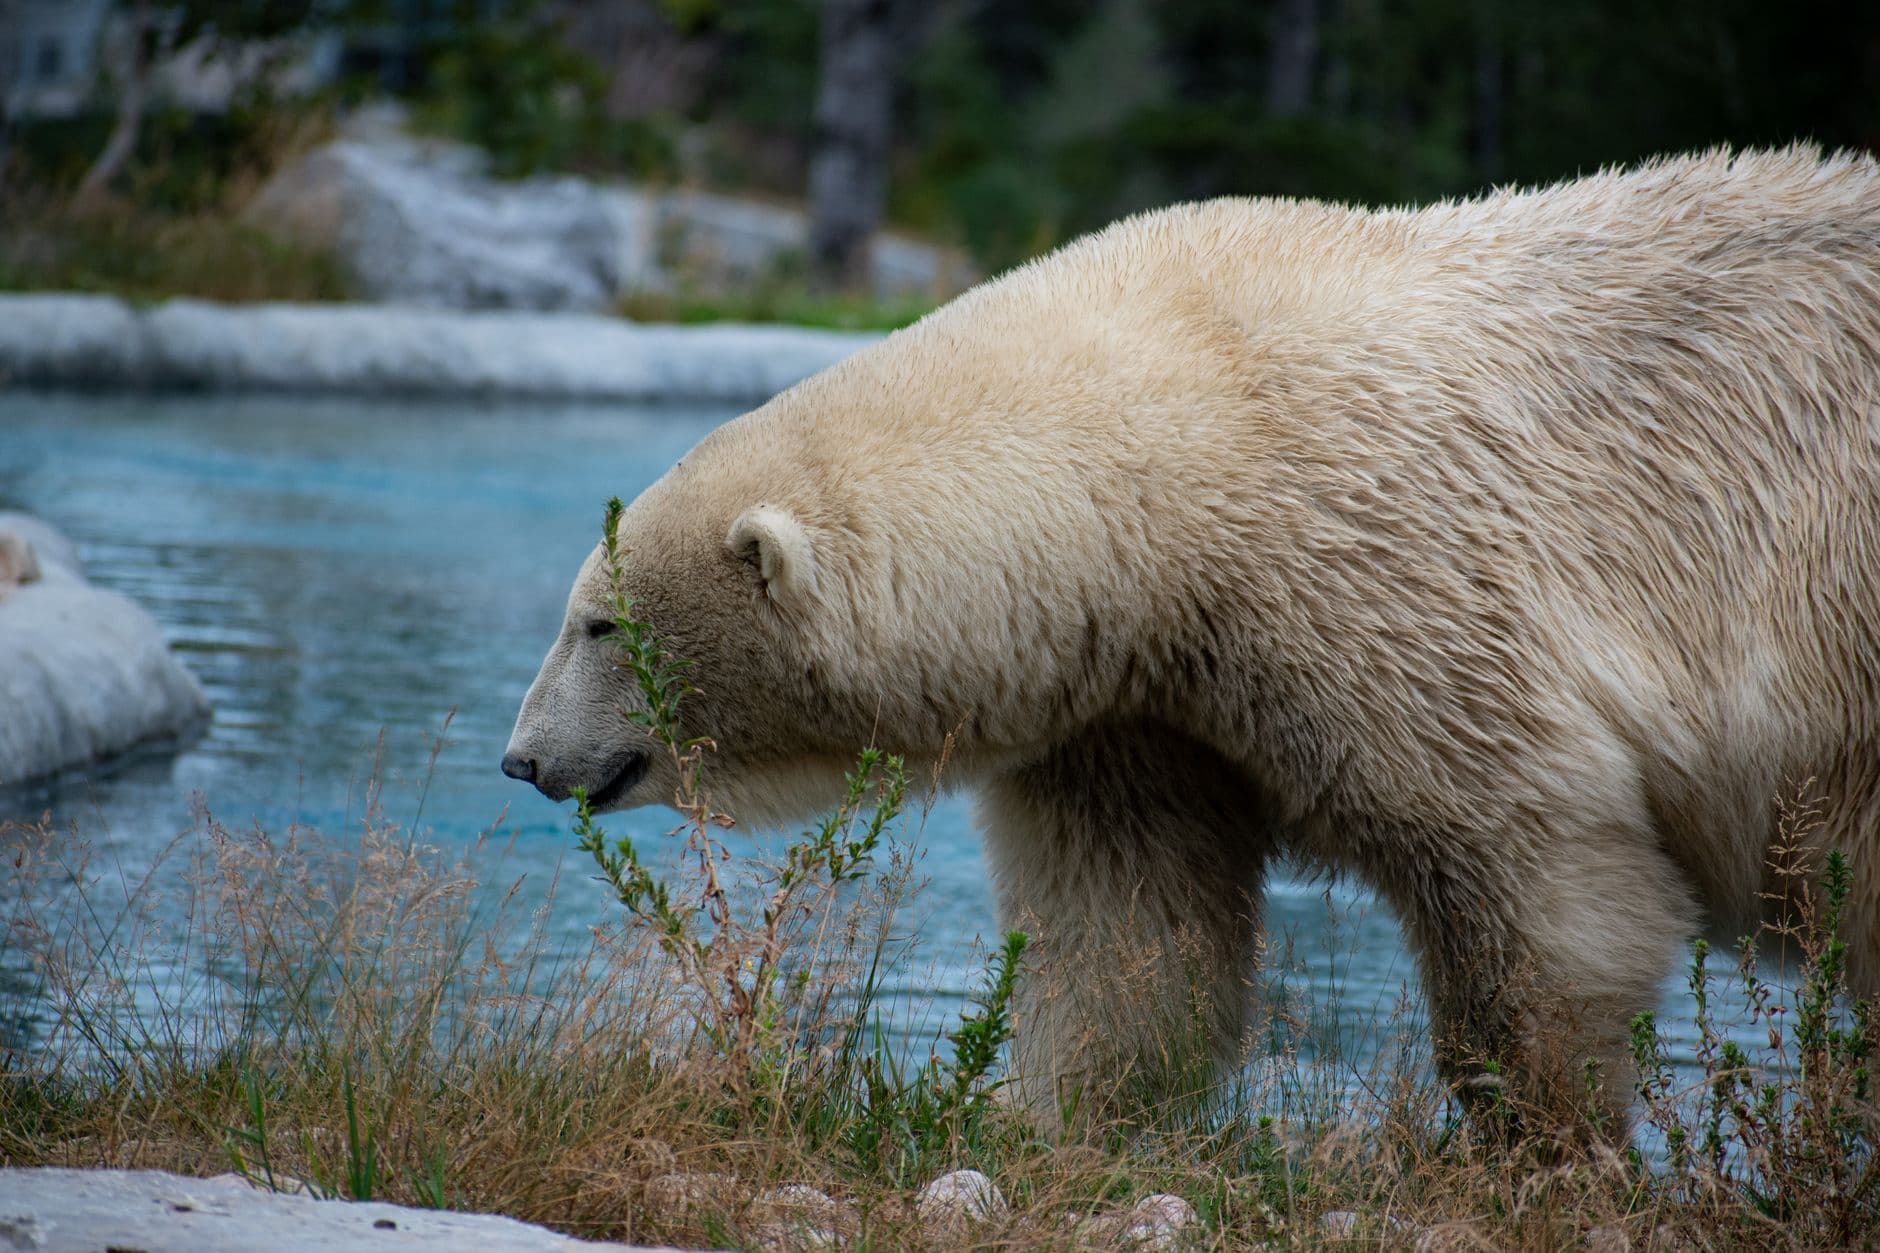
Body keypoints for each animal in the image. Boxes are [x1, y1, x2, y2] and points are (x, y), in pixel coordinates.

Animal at [504, 147, 1880, 1132]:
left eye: (599, 621)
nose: (522, 756)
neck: (1191, 428)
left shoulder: (1394, 580)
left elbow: (1530, 870)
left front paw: (1535, 1138)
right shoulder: (1137, 688)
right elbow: (1130, 921)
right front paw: (1064, 1121)